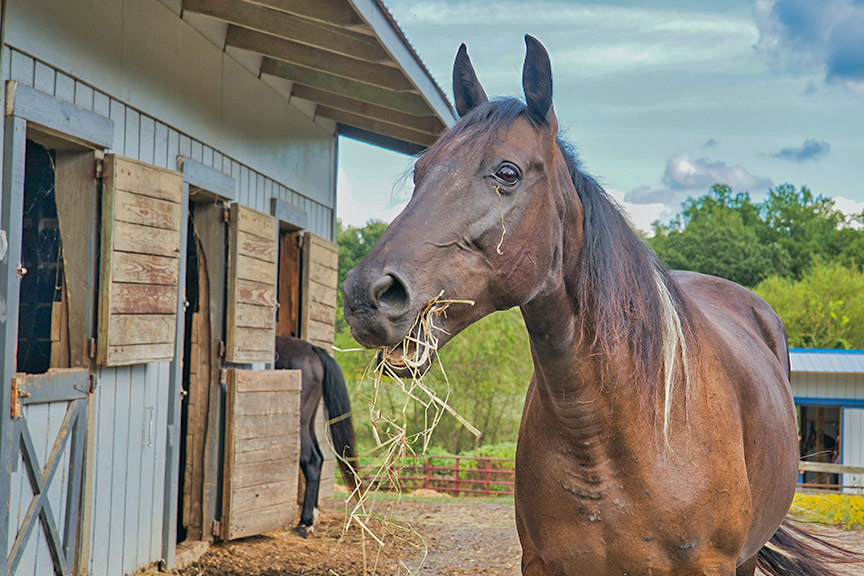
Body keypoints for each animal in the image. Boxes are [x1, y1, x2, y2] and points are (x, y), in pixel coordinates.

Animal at [276, 336, 358, 536]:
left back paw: (304, 523)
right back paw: (311, 517)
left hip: (300, 422)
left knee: (311, 460)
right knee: (319, 458)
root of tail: (312, 350)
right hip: (309, 421)